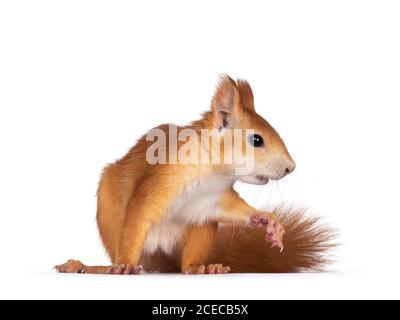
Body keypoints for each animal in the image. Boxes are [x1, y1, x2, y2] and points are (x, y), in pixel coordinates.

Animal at [54, 75, 334, 276]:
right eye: (257, 140)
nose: (290, 167)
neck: (212, 171)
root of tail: (162, 256)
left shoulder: (215, 198)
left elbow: (236, 209)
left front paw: (267, 220)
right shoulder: (159, 182)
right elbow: (138, 216)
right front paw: (124, 264)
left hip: (201, 229)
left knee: (186, 265)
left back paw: (204, 267)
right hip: (110, 216)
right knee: (122, 249)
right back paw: (94, 266)